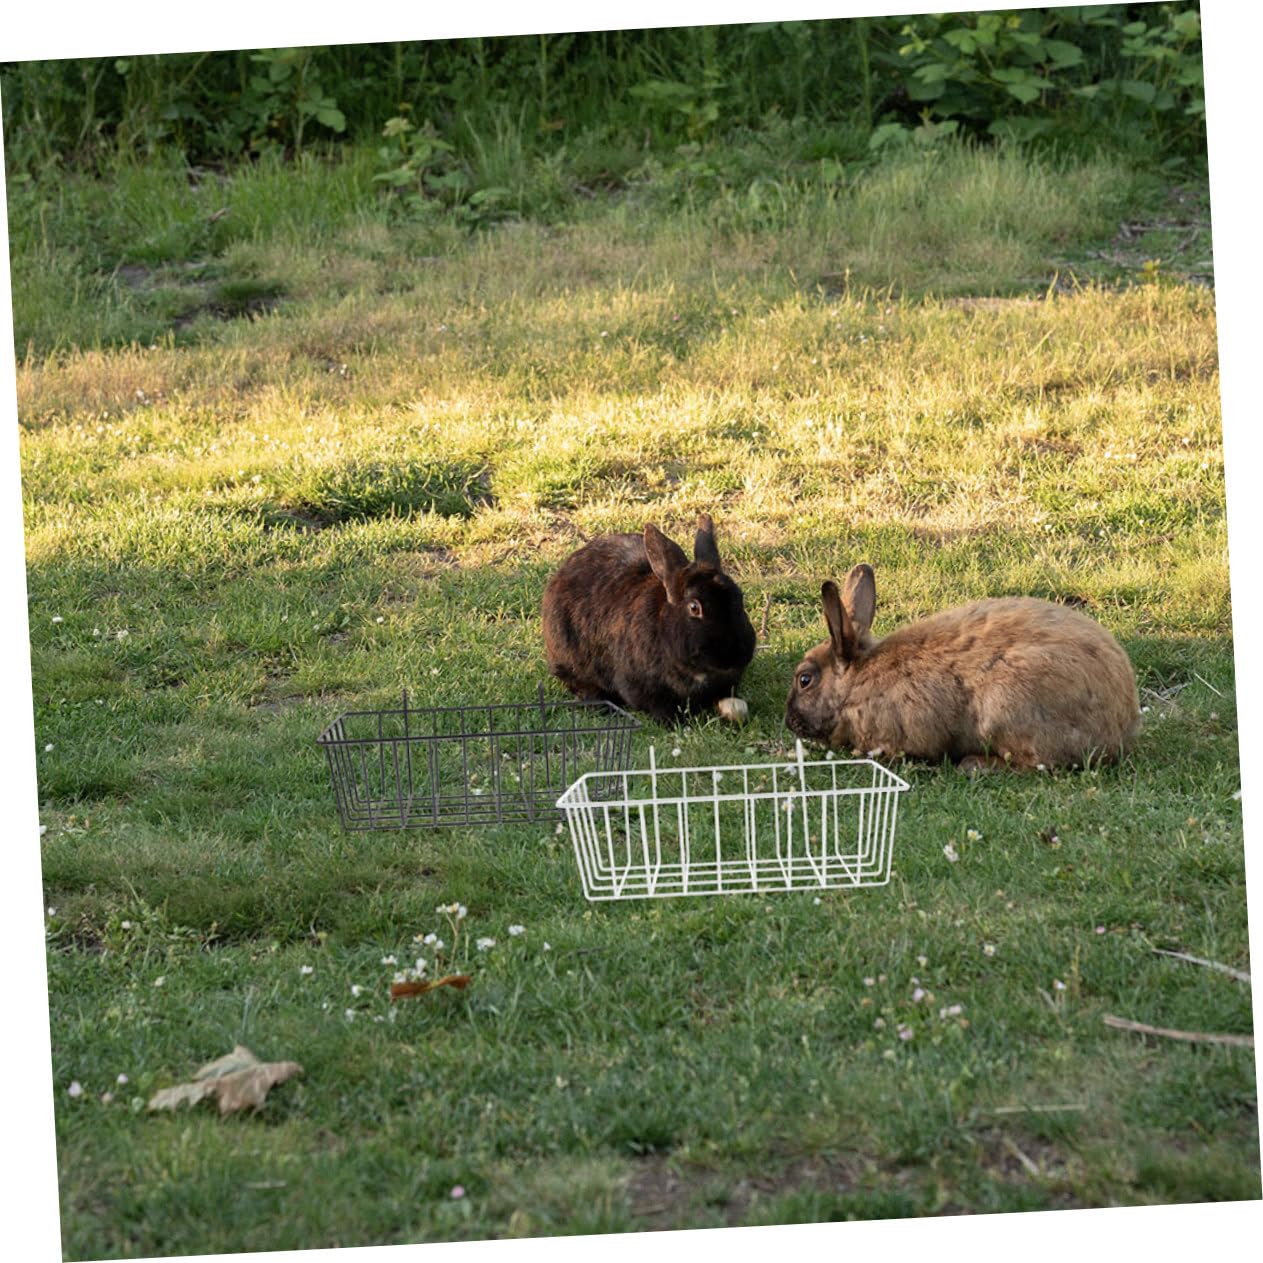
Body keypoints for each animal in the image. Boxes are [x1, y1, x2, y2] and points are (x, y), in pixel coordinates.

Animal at [785, 565, 1140, 772]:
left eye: (805, 680)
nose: (789, 722)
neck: (855, 683)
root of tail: (1121, 726)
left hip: (1005, 709)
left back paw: (973, 764)